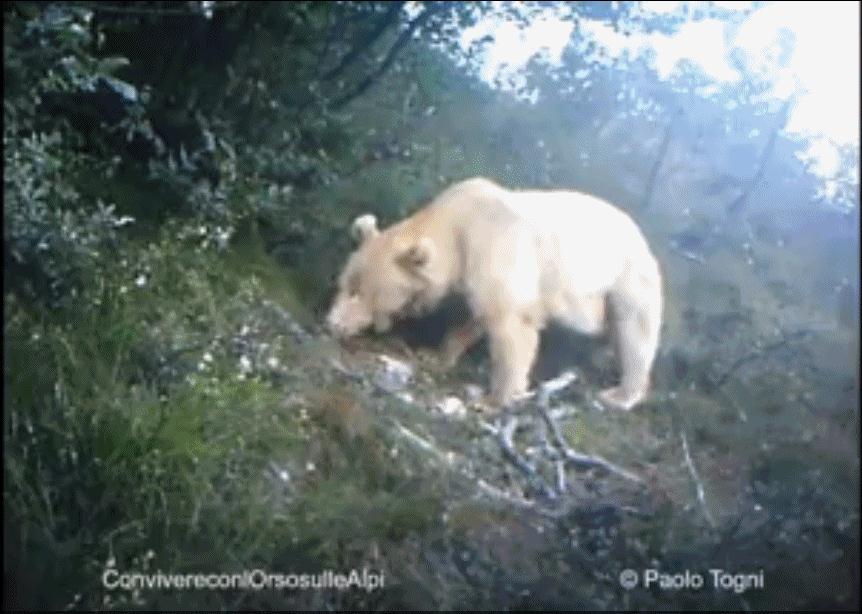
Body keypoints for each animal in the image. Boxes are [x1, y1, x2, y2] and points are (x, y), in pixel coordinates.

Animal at [326, 177, 663, 410]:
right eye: (343, 284)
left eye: (358, 293)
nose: (332, 324)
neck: (458, 225)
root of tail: (643, 237)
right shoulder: (472, 272)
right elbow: (473, 318)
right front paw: (435, 355)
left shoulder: (497, 250)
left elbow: (510, 326)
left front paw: (494, 399)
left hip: (627, 280)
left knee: (635, 333)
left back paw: (620, 395)